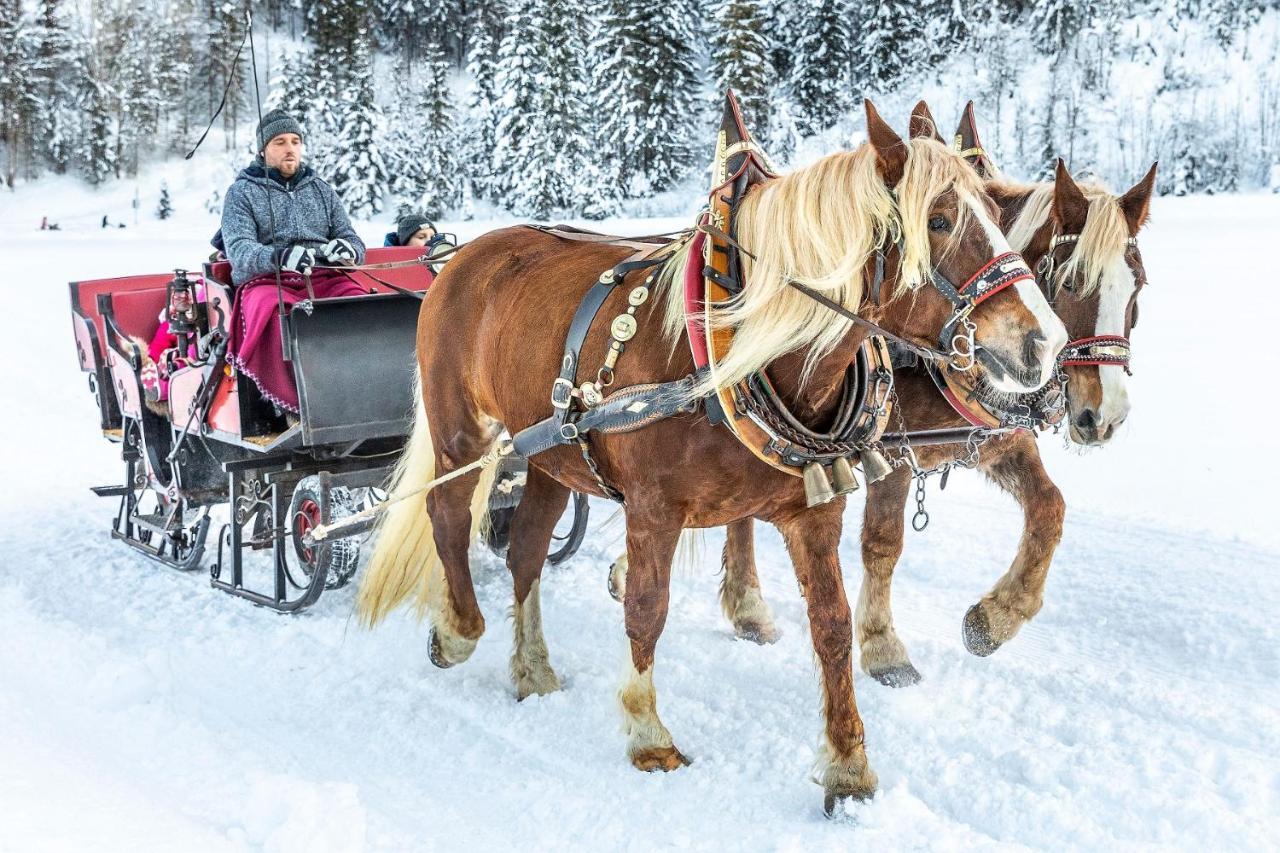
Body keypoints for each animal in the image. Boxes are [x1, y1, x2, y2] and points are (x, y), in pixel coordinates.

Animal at [353, 99, 1070, 809]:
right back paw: (458, 630)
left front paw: (847, 763)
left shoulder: (813, 511)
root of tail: (464, 252)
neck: (737, 351)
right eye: (939, 220)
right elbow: (646, 609)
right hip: (460, 425)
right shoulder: (652, 509)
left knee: (527, 545)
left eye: (995, 212)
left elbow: (831, 624)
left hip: (553, 449)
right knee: (448, 512)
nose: (1044, 341)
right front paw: (648, 732)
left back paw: (532, 667)